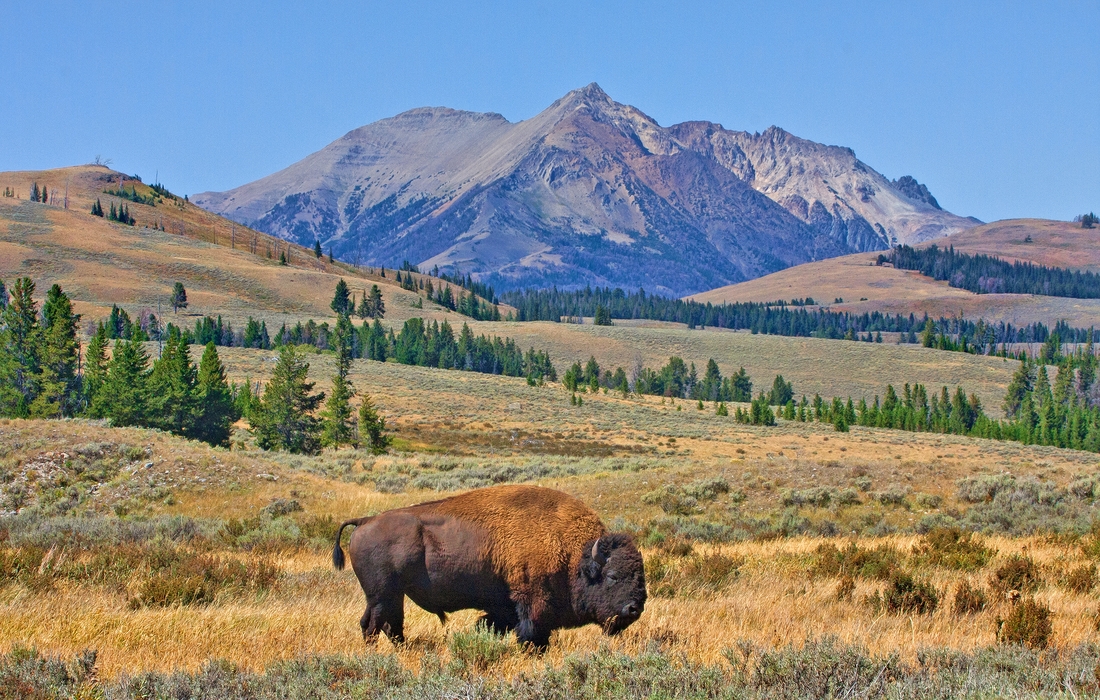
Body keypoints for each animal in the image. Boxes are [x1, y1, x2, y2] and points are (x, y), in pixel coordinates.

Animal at [330, 484, 646, 647]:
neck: (573, 554)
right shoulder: (531, 601)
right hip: (383, 594)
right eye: (612, 576)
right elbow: (532, 633)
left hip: (388, 595)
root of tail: (365, 521)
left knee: (383, 624)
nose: (635, 608)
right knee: (376, 624)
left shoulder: (505, 606)